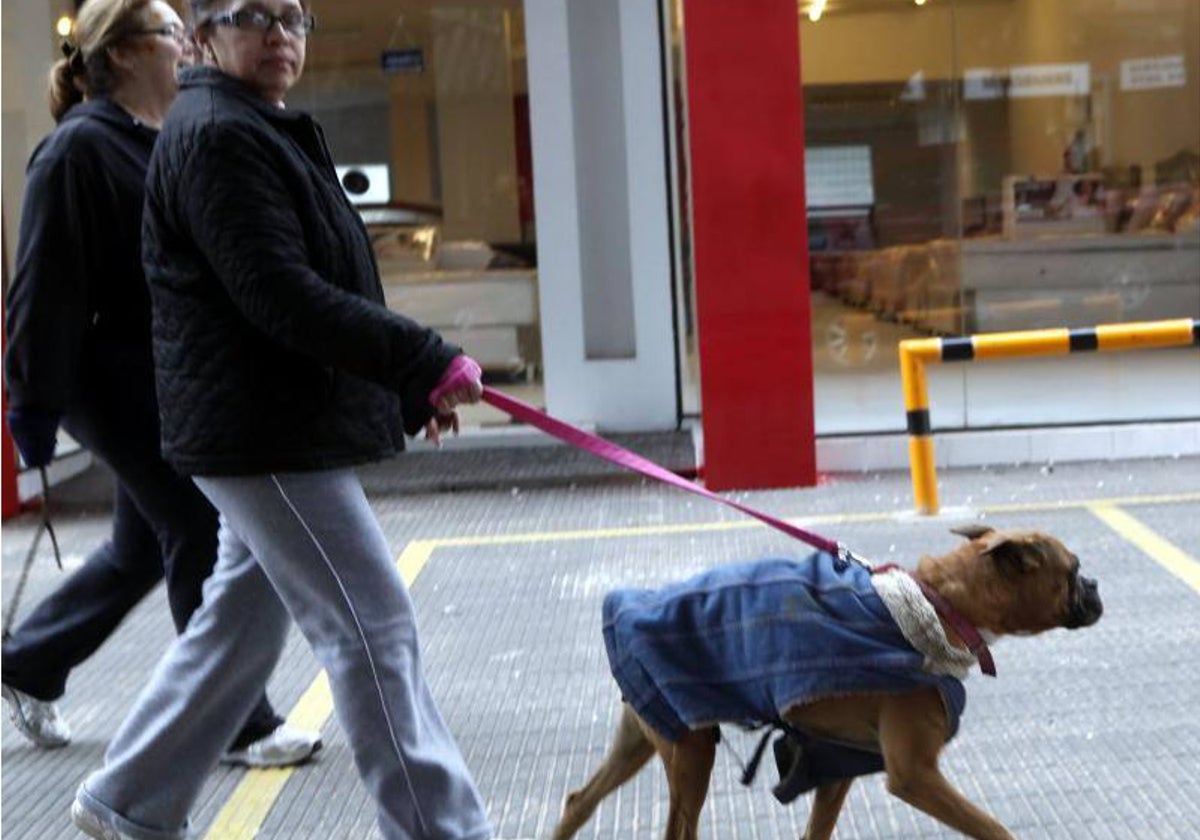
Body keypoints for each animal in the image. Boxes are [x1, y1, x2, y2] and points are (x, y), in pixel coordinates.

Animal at [549, 525, 1099, 840]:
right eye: (1073, 569)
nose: (1095, 585)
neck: (941, 604)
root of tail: (625, 614)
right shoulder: (915, 774)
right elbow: (993, 828)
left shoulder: (835, 770)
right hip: (690, 756)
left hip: (646, 737)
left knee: (580, 802)